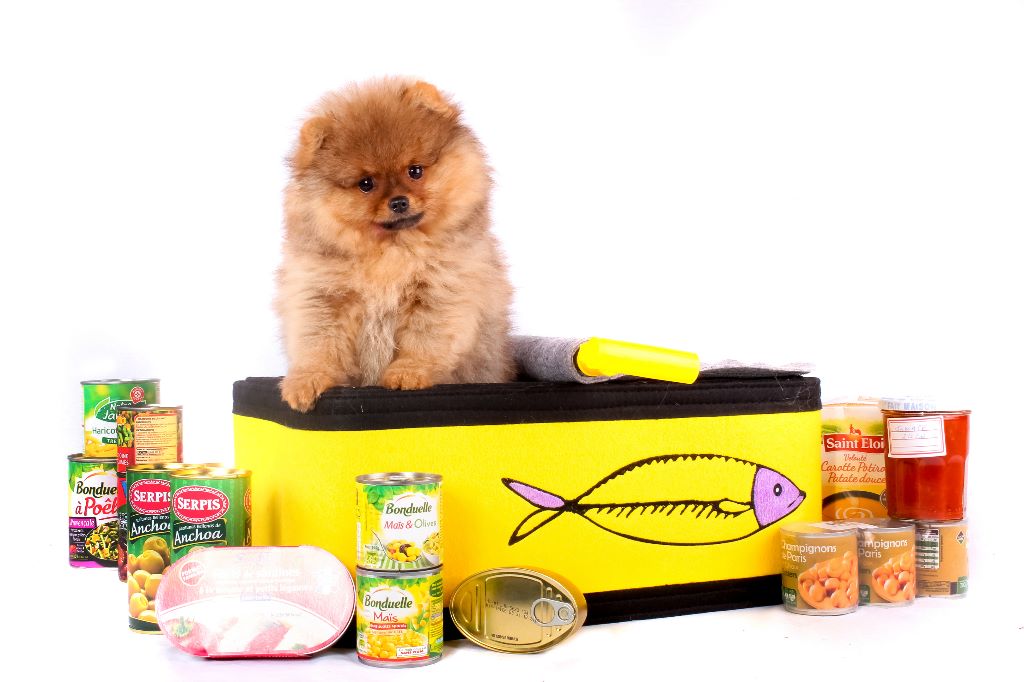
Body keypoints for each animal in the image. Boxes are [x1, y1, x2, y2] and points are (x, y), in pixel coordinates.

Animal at [276, 78, 514, 412]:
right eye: (366, 184)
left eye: (415, 171)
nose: (399, 202)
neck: (391, 251)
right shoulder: (320, 294)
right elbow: (317, 343)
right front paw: (307, 380)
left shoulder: (442, 289)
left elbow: (424, 340)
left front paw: (409, 373)